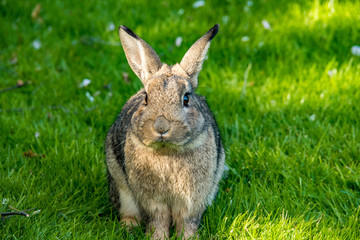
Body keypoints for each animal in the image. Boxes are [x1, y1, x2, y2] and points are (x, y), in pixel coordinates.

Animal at [104, 23, 224, 239]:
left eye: (186, 98)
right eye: (146, 98)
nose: (161, 126)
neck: (167, 150)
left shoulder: (192, 200)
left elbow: (187, 221)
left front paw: (189, 238)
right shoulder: (152, 201)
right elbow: (157, 220)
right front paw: (157, 237)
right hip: (121, 187)